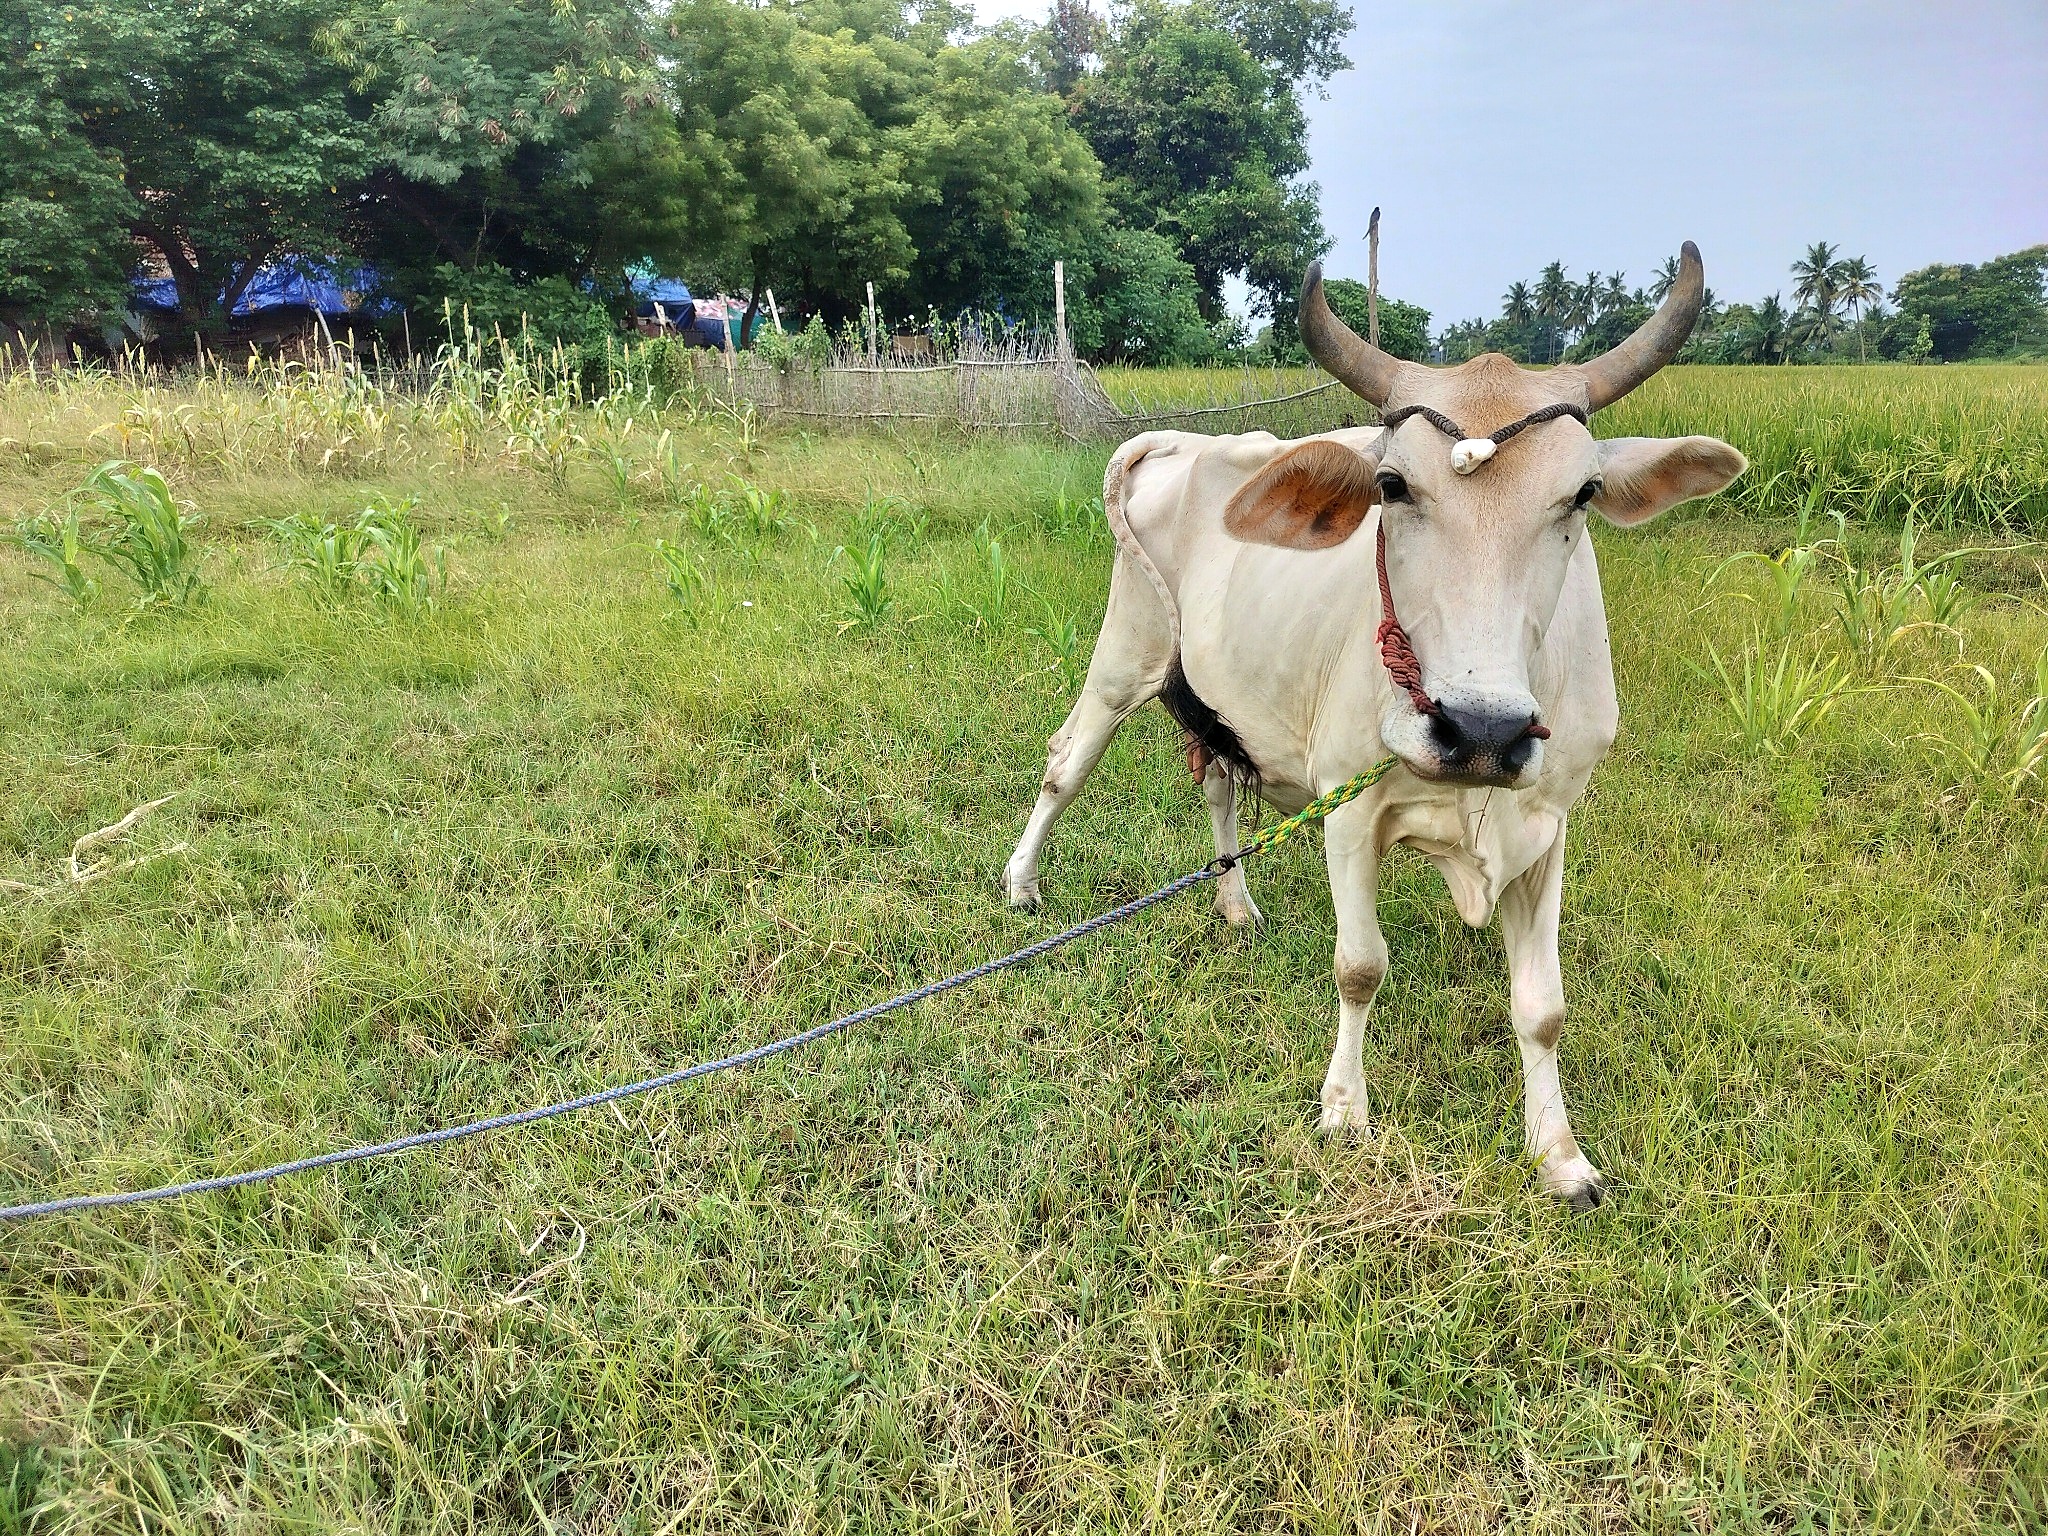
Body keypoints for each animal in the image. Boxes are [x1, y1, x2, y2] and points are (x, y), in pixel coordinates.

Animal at [1001, 243, 1744, 1209]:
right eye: (1392, 485)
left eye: (1582, 494)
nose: (1481, 729)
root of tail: (1179, 441)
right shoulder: (1347, 809)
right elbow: (1360, 967)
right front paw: (1345, 1113)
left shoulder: (1548, 826)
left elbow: (1542, 1010)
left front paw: (1560, 1156)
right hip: (1127, 654)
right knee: (1065, 764)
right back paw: (1021, 884)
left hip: (1222, 694)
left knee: (1217, 785)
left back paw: (1235, 905)